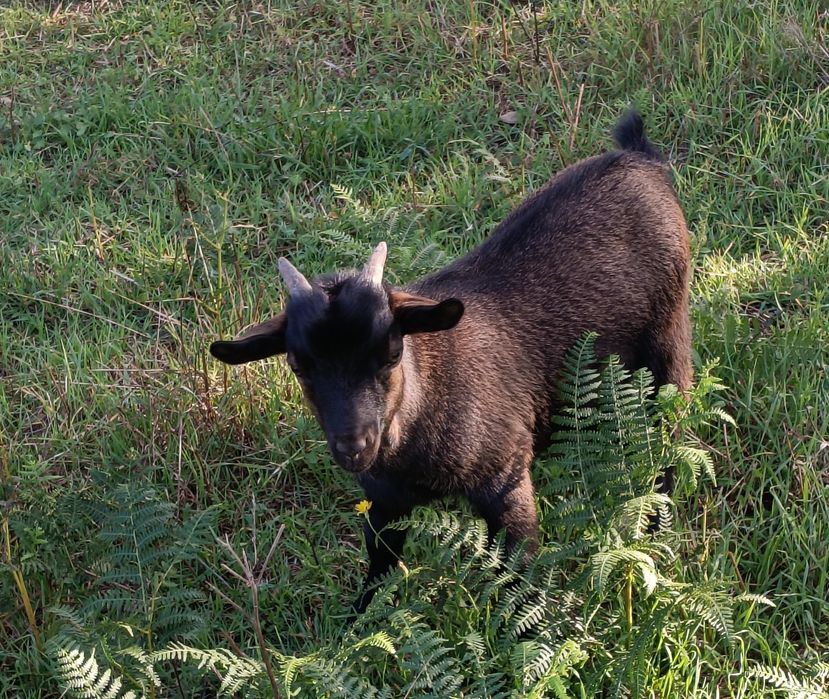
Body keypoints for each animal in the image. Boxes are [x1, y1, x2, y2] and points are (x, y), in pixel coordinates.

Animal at [209, 110, 692, 612]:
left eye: (392, 351)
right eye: (298, 365)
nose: (354, 447)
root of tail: (639, 158)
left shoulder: (504, 480)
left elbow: (520, 576)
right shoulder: (383, 501)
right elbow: (379, 566)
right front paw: (359, 621)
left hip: (669, 344)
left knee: (669, 441)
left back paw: (657, 530)